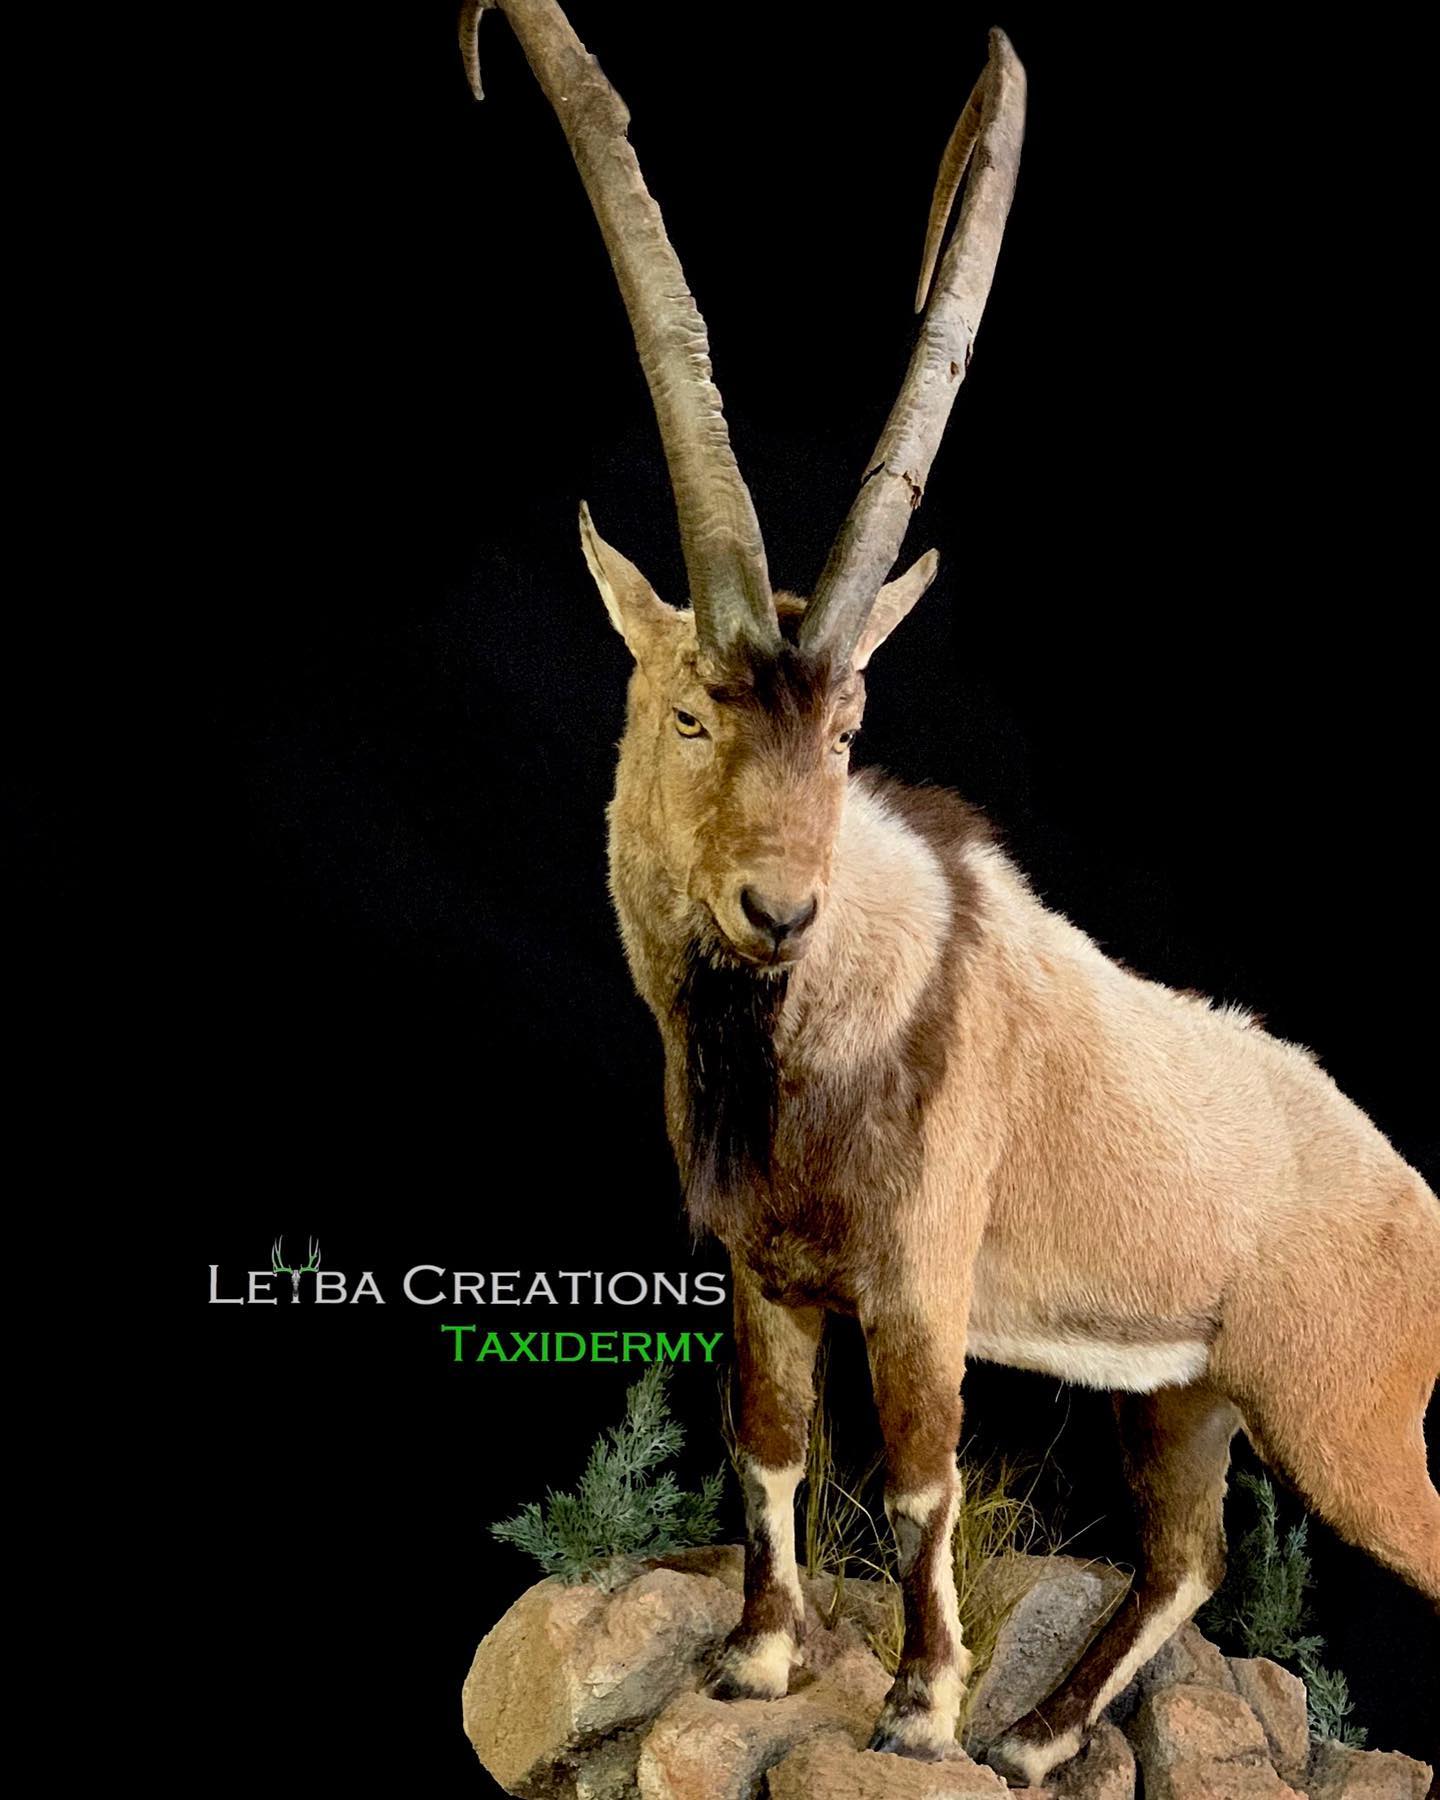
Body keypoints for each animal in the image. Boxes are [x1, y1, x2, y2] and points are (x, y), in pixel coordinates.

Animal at [460, 1, 1440, 1782]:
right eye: (695, 708)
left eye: (850, 723)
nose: (777, 911)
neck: (830, 1014)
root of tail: (1417, 1206)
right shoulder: (768, 1274)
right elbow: (773, 1449)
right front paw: (762, 1662)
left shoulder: (921, 1284)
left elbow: (920, 1478)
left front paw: (918, 1708)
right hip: (1186, 1395)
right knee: (1184, 1558)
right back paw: (1042, 1742)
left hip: (1345, 1423)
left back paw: (1007, 1731)